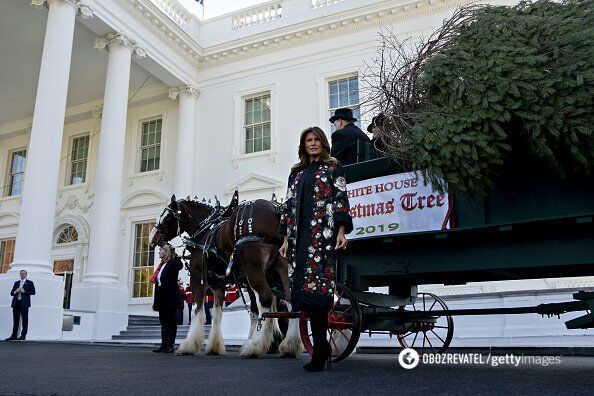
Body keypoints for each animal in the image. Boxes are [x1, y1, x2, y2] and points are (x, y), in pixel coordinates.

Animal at [150, 195, 302, 358]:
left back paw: (254, 345)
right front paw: (214, 346)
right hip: (279, 270)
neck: (205, 230)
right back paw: (289, 345)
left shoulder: (198, 278)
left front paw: (188, 345)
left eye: (168, 217)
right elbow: (217, 313)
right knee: (289, 300)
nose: (152, 238)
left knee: (265, 299)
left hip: (254, 269)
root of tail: (277, 210)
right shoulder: (218, 283)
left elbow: (197, 310)